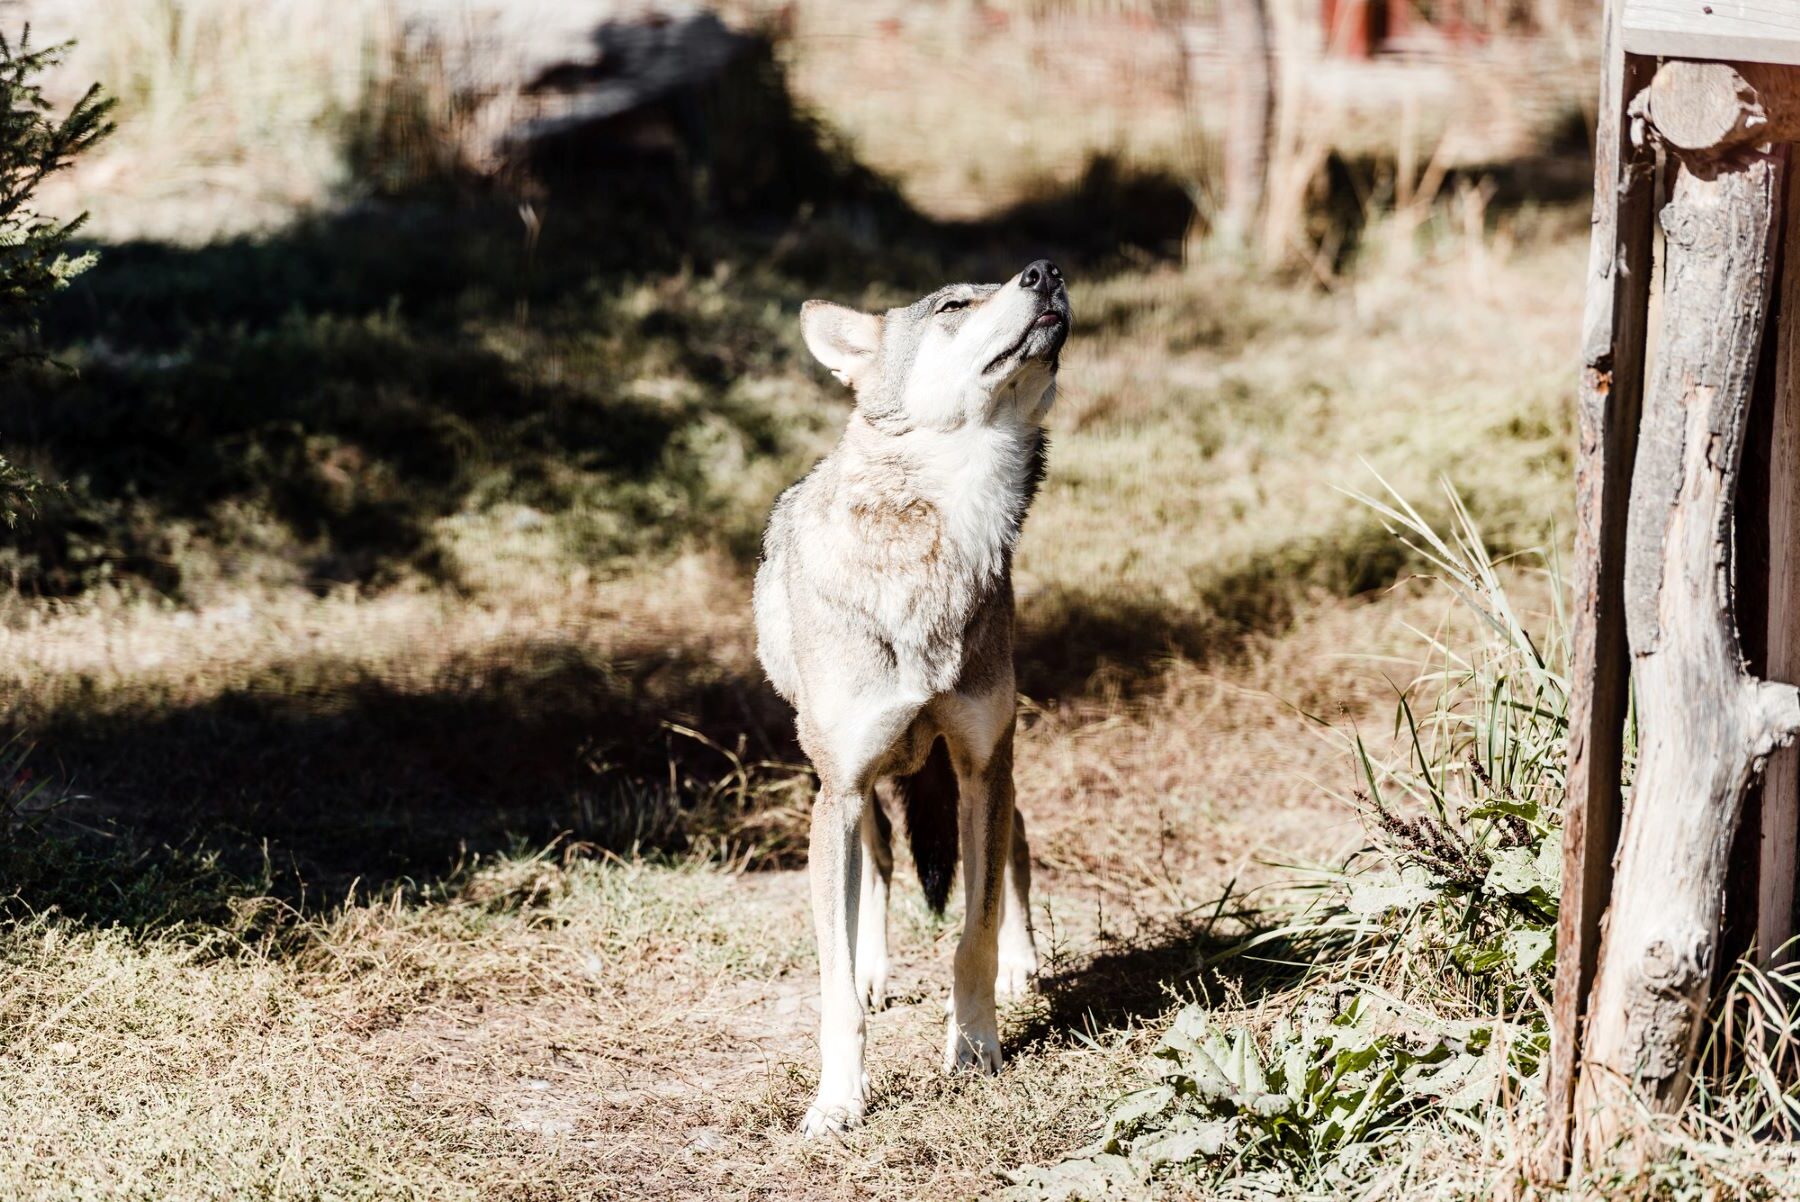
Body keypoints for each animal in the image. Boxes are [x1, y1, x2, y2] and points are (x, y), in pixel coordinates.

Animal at [748, 259, 1065, 1130]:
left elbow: (973, 934)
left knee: (1018, 853)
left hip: (993, 773)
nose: (1046, 270)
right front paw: (838, 1101)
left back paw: (1024, 967)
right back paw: (873, 971)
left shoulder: (982, 766)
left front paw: (977, 1053)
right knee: (880, 867)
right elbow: (835, 989)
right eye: (954, 305)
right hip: (850, 790)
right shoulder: (843, 789)